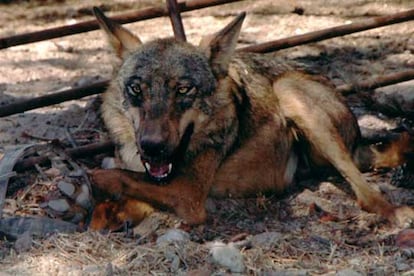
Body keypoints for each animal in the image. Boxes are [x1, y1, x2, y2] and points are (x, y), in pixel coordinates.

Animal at [90, 7, 414, 230]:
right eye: (136, 89)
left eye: (184, 89)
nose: (152, 147)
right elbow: (122, 190)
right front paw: (108, 212)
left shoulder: (188, 194)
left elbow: (111, 175)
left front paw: (96, 184)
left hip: (289, 90)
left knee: (367, 192)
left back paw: (394, 211)